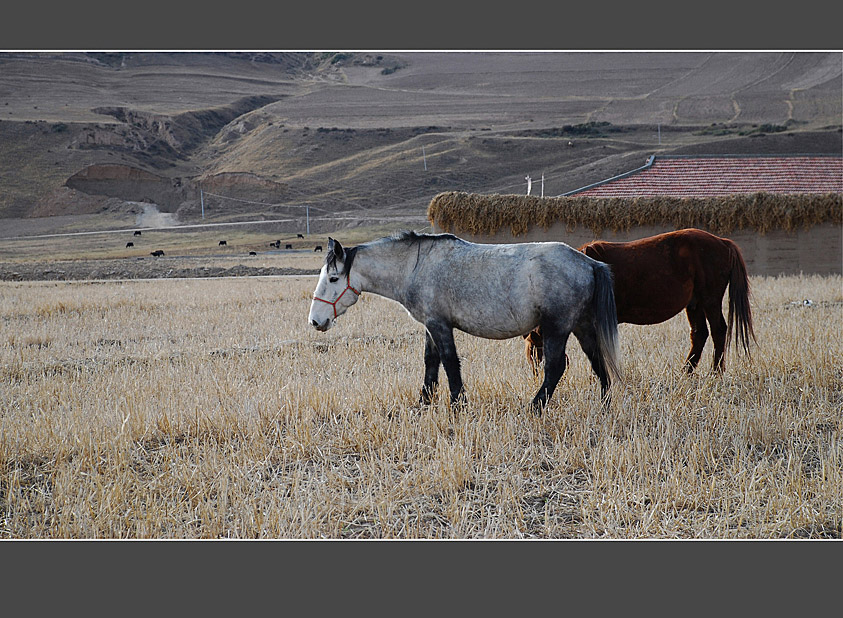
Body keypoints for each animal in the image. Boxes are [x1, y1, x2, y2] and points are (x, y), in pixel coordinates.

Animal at [308, 232, 620, 414]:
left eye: (333, 278)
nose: (315, 321)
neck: (416, 267)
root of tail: (588, 263)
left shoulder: (440, 325)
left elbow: (449, 362)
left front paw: (457, 404)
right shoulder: (430, 325)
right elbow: (430, 362)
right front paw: (424, 402)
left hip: (557, 328)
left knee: (555, 368)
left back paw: (533, 407)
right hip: (579, 326)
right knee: (596, 359)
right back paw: (604, 403)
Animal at [524, 226, 756, 370]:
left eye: (534, 353)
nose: (537, 375)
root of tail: (723, 242)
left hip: (710, 300)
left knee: (718, 331)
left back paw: (715, 373)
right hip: (694, 304)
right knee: (699, 334)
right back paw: (686, 373)